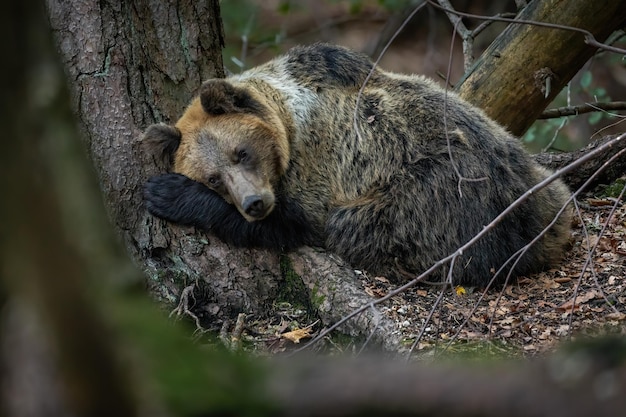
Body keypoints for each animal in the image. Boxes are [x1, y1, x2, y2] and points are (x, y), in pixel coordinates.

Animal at [143, 44, 572, 288]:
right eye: (214, 178)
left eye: (241, 152)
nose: (253, 203)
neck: (287, 121)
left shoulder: (321, 163)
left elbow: (297, 225)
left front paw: (167, 192)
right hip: (538, 181)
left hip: (441, 196)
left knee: (358, 226)